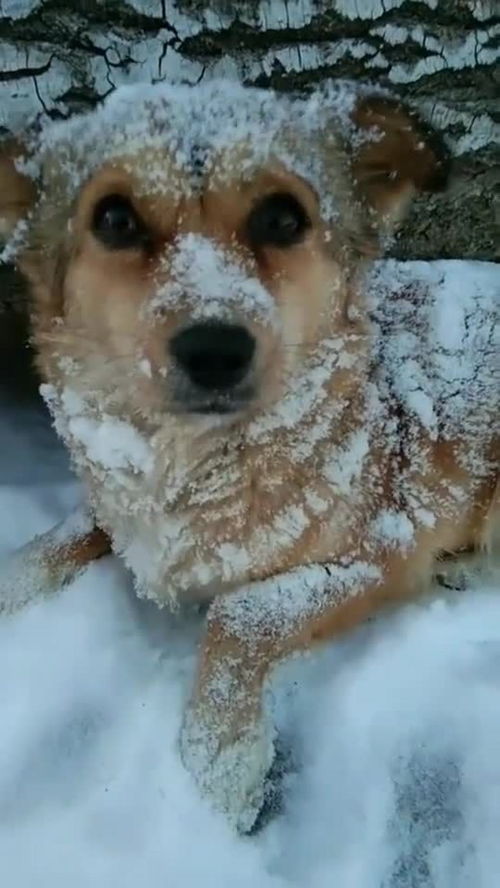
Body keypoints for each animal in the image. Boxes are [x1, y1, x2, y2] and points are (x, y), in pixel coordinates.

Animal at [0, 81, 498, 832]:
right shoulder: (123, 505)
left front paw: (220, 764)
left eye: (282, 217)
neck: (194, 461)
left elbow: (239, 614)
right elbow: (62, 537)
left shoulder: (385, 546)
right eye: (114, 218)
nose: (214, 349)